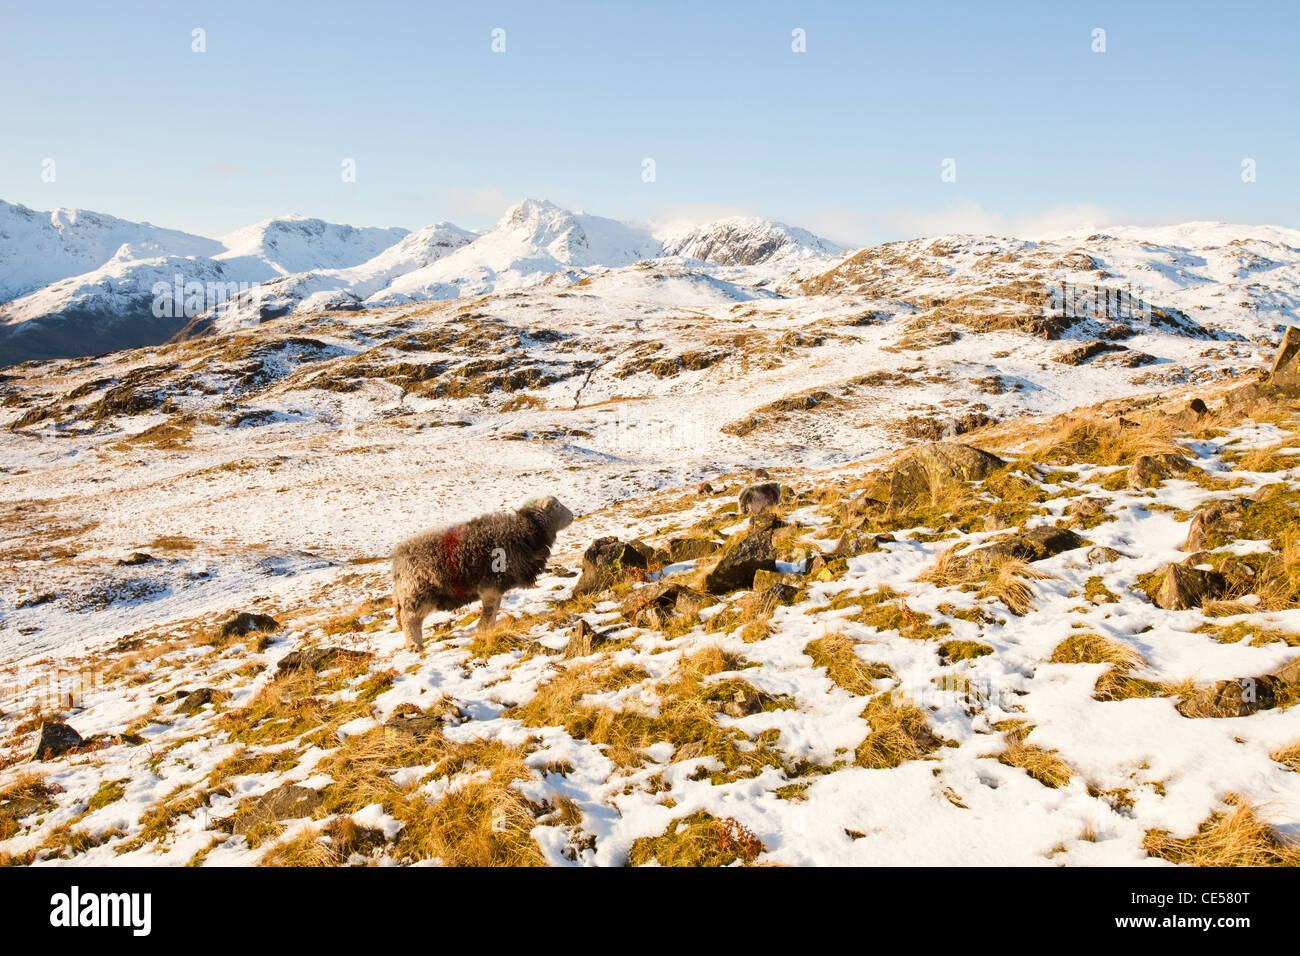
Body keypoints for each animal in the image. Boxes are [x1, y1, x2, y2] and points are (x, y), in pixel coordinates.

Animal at [390, 496, 574, 655]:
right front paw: (483, 629)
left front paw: (489, 629)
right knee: (409, 621)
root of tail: (399, 559)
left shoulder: (498, 587)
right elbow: (489, 610)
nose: (572, 516)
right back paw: (414, 645)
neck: (524, 532)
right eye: (556, 506)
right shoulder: (490, 586)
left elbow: (495, 609)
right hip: (418, 594)